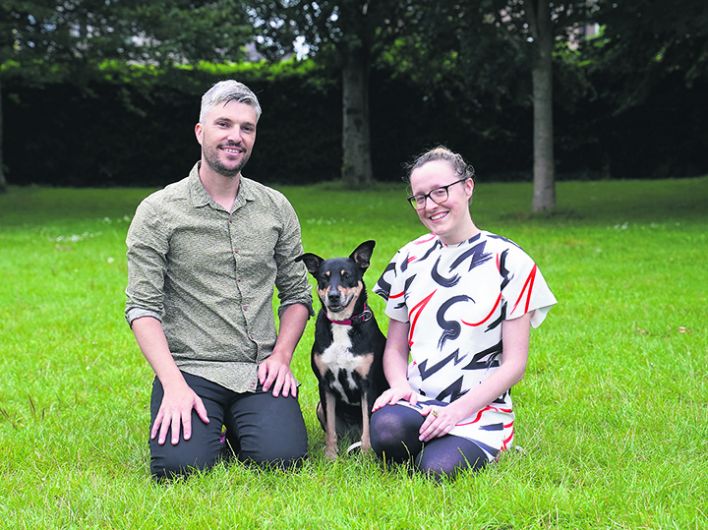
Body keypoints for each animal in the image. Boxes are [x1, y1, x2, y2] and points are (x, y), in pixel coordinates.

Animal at [294, 240, 388, 458]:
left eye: (347, 276)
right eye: (324, 277)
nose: (334, 296)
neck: (342, 324)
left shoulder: (368, 386)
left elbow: (368, 427)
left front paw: (366, 457)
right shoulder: (325, 384)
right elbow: (330, 429)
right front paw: (330, 456)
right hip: (320, 407)